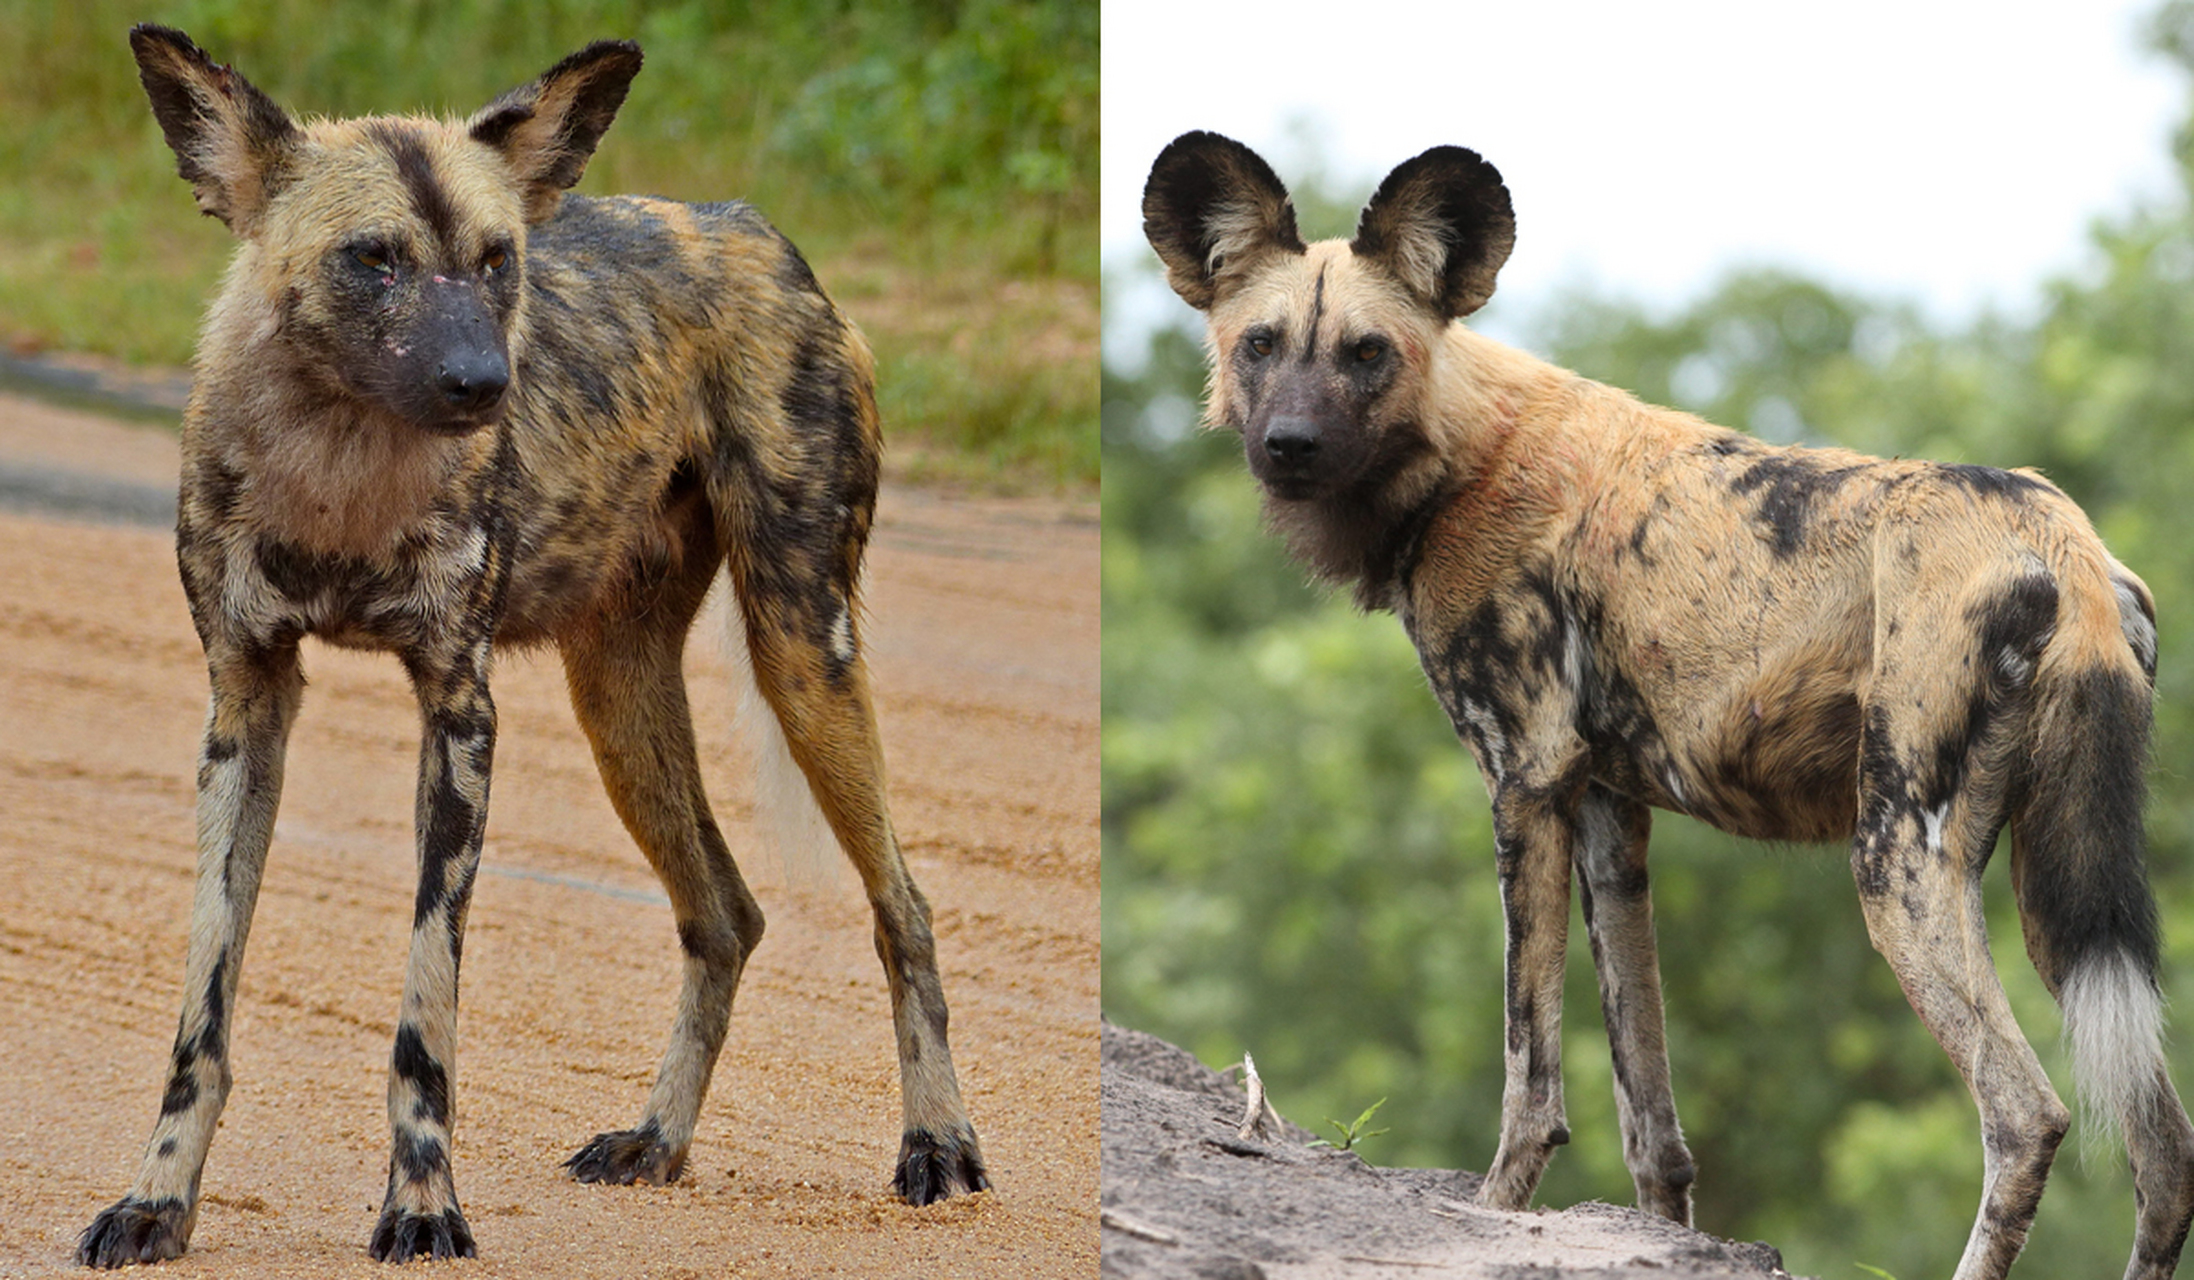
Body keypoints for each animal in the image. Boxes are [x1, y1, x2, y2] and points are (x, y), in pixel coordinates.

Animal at [77, 24, 987, 1264]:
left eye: (499, 259)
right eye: (374, 260)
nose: (483, 381)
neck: (338, 472)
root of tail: (762, 233)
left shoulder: (460, 715)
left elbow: (425, 1016)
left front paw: (422, 1206)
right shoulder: (245, 707)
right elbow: (202, 1015)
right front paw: (158, 1200)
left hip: (804, 651)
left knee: (905, 907)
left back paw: (936, 1142)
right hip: (620, 702)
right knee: (726, 913)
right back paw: (657, 1137)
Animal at [1149, 132, 2194, 1280]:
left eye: (1367, 352)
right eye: (1259, 345)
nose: (1288, 442)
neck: (1460, 453)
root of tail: (2059, 531)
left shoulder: (1525, 785)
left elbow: (1529, 1080)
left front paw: (1496, 1206)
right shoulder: (1610, 818)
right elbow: (1651, 1120)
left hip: (1898, 864)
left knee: (2026, 1114)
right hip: (2059, 897)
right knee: (2163, 1149)